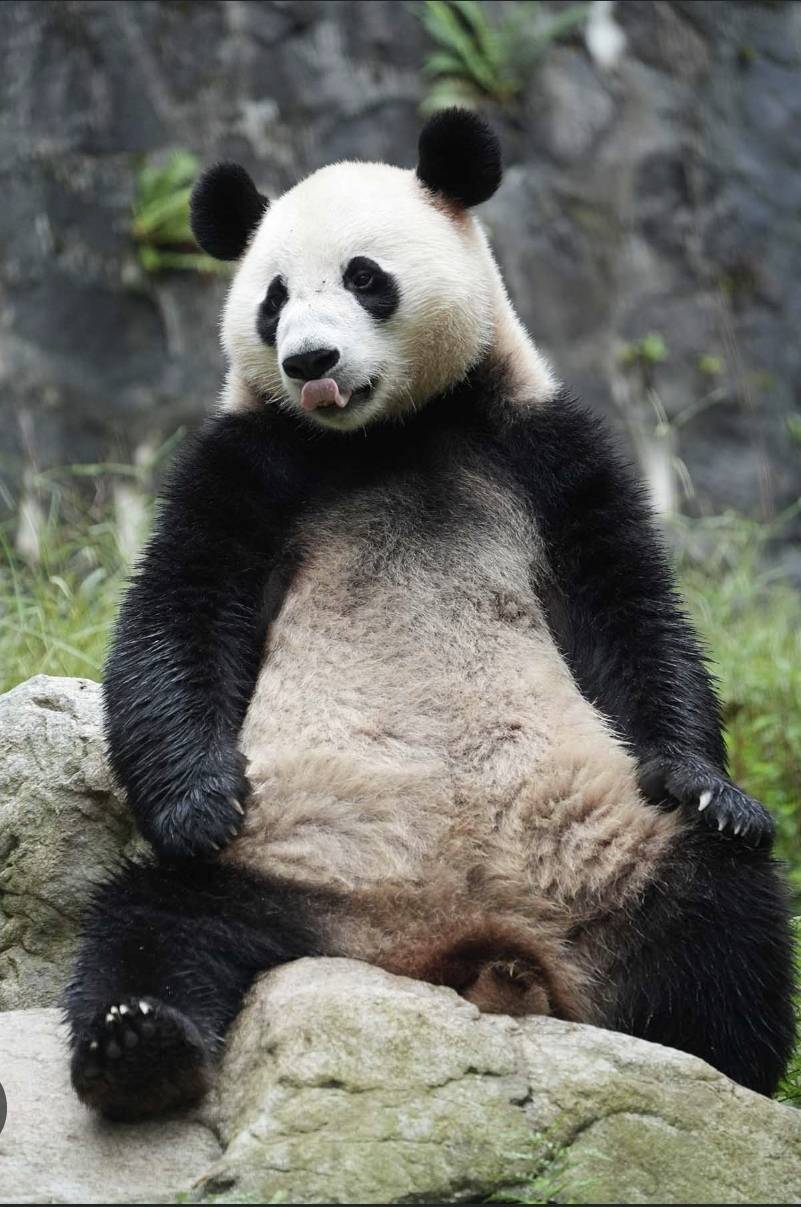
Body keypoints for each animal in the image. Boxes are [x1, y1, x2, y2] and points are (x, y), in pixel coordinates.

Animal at [65, 109, 795, 1121]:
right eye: (273, 300)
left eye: (365, 278)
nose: (310, 362)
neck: (388, 436)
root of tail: (461, 949)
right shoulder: (250, 456)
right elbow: (180, 609)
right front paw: (198, 803)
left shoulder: (539, 445)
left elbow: (628, 607)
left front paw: (701, 777)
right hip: (289, 871)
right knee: (153, 923)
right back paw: (138, 1046)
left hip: (610, 855)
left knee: (720, 909)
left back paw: (717, 1065)